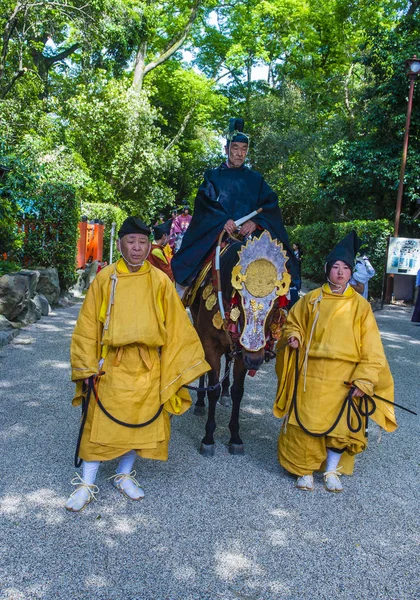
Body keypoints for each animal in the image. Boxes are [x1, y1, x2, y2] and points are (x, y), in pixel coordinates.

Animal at [188, 230, 292, 454]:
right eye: (242, 303)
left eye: (274, 308)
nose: (255, 361)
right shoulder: (211, 344)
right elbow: (213, 389)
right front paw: (208, 438)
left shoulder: (244, 352)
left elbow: (238, 392)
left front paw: (235, 436)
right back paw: (200, 403)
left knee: (230, 358)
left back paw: (225, 394)